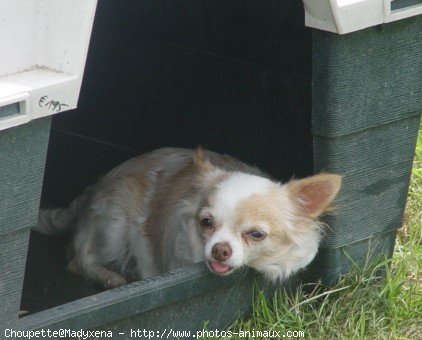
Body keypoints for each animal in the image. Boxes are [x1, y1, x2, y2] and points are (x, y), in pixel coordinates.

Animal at [34, 147, 342, 288]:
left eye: (256, 234)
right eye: (206, 222)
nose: (220, 250)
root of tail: (92, 191)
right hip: (115, 223)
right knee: (80, 261)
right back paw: (111, 277)